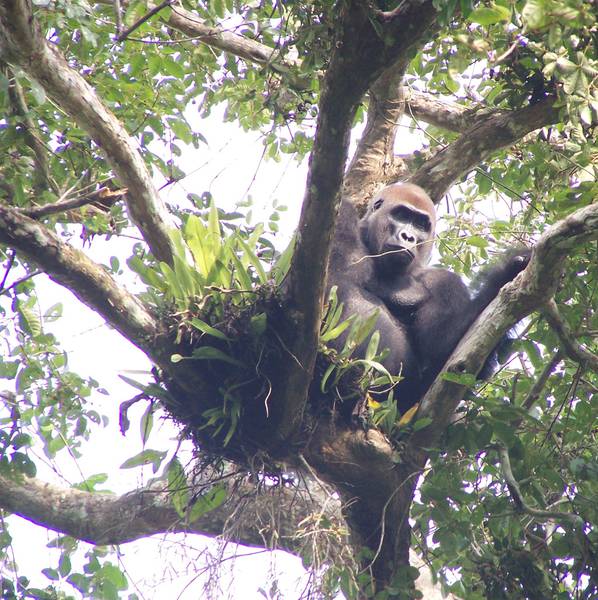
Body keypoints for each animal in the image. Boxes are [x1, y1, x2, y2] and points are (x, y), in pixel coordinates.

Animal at [330, 183, 532, 414]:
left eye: (421, 225)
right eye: (401, 215)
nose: (408, 237)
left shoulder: (444, 283)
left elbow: (445, 353)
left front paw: (509, 273)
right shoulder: (342, 213)